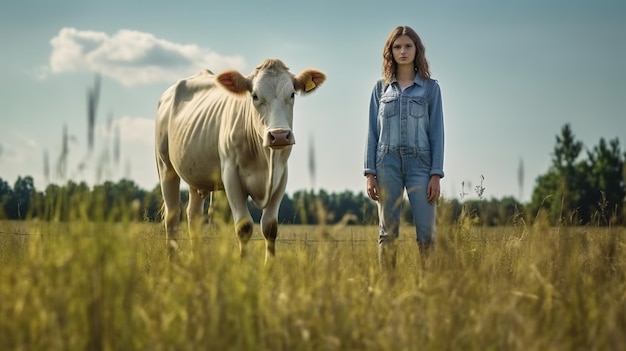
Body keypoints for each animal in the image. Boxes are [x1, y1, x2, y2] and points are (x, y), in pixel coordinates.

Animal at [154, 59, 324, 262]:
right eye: (255, 96)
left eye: (292, 94)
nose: (279, 136)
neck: (266, 160)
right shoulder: (231, 176)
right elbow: (244, 227)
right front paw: (244, 265)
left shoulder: (281, 176)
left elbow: (270, 227)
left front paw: (270, 266)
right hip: (165, 167)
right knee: (172, 216)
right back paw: (172, 262)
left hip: (195, 174)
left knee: (193, 216)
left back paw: (197, 261)